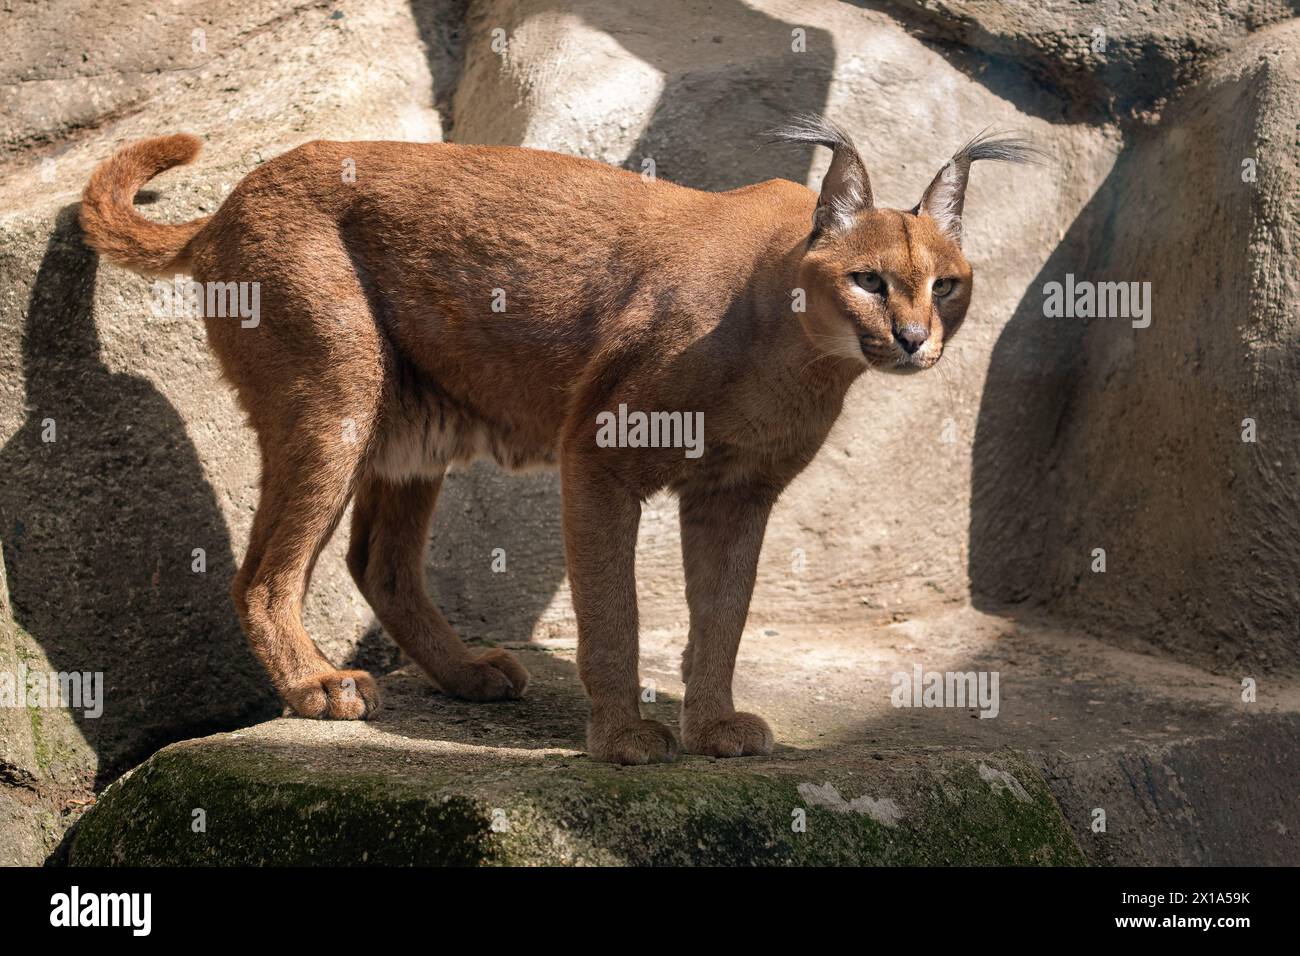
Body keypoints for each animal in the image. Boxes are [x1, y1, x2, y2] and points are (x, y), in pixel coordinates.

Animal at [81, 117, 1034, 764]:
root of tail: (234, 199)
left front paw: (712, 725)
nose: (913, 338)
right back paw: (318, 685)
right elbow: (615, 611)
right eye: (869, 280)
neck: (801, 350)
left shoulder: (735, 495)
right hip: (336, 396)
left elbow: (723, 614)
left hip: (412, 422)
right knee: (263, 573)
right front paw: (622, 737)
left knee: (375, 561)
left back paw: (465, 673)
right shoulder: (600, 456)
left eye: (947, 285)